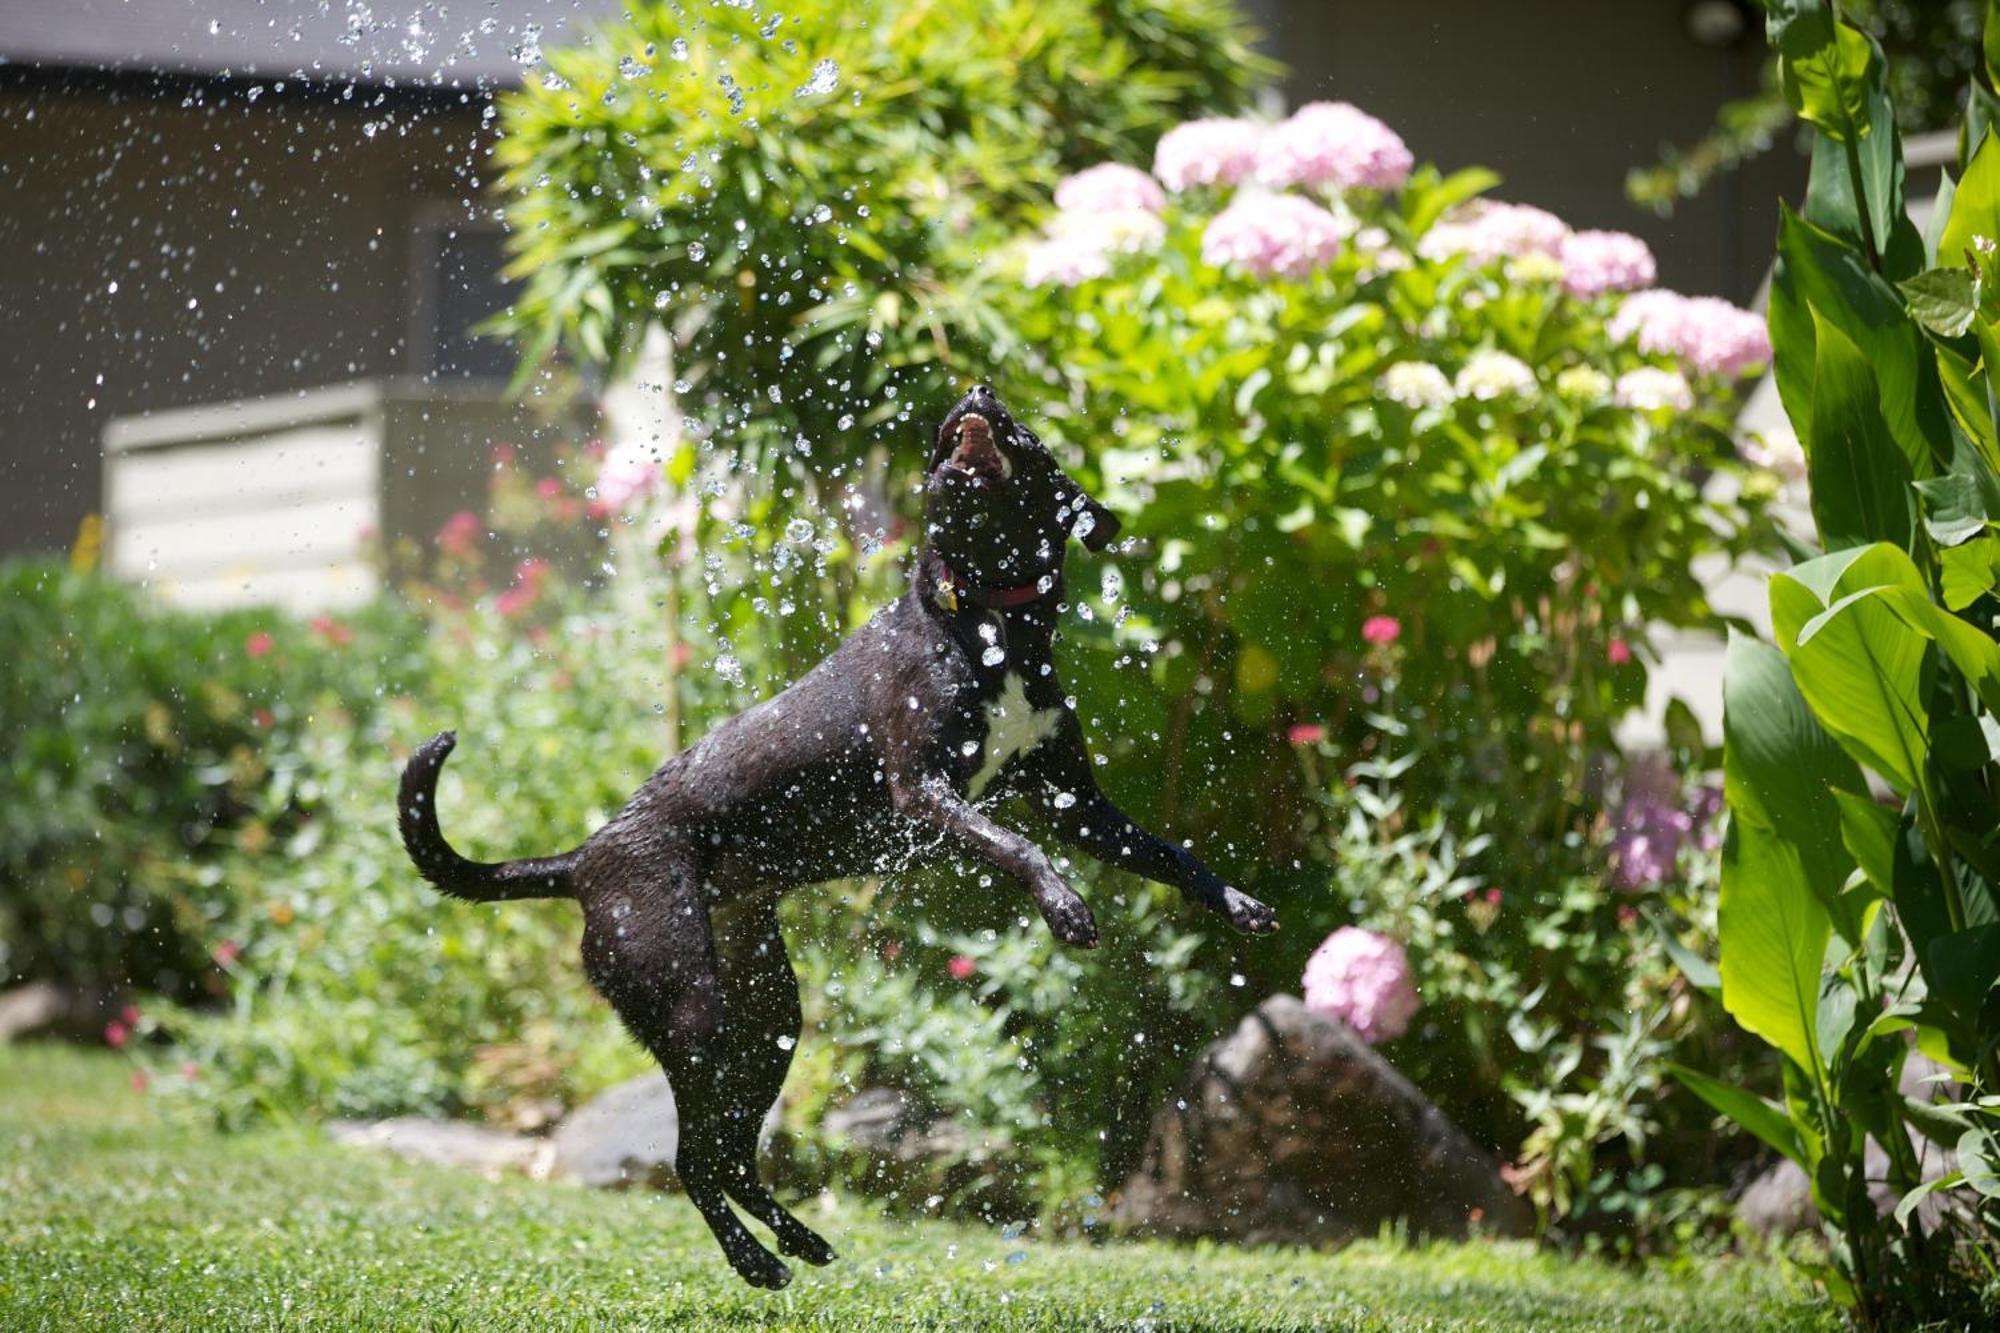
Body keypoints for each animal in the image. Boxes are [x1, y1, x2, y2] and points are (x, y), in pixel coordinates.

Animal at [402, 384, 1280, 1288]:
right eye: (948, 433)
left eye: (1024, 431)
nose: (974, 391)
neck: (989, 624)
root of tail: (582, 859)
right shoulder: (924, 791)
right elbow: (1017, 845)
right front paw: (1065, 906)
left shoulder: (1076, 802)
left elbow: (1171, 853)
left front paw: (1238, 902)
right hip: (691, 1007)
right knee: (691, 1158)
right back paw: (755, 1258)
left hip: (768, 1015)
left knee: (731, 1152)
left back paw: (801, 1238)